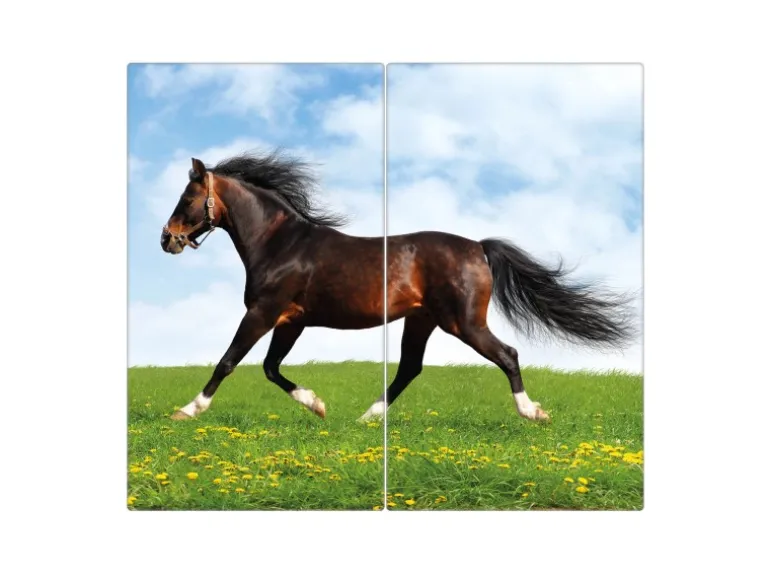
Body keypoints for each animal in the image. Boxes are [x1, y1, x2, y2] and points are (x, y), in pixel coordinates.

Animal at [160, 150, 636, 423]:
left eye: (187, 198)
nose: (167, 239)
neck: (280, 243)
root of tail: (478, 247)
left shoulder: (262, 312)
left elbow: (229, 362)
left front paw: (186, 410)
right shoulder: (291, 321)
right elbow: (270, 368)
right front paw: (318, 405)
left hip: (463, 323)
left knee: (507, 355)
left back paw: (533, 412)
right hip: (421, 321)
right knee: (410, 368)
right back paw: (367, 417)